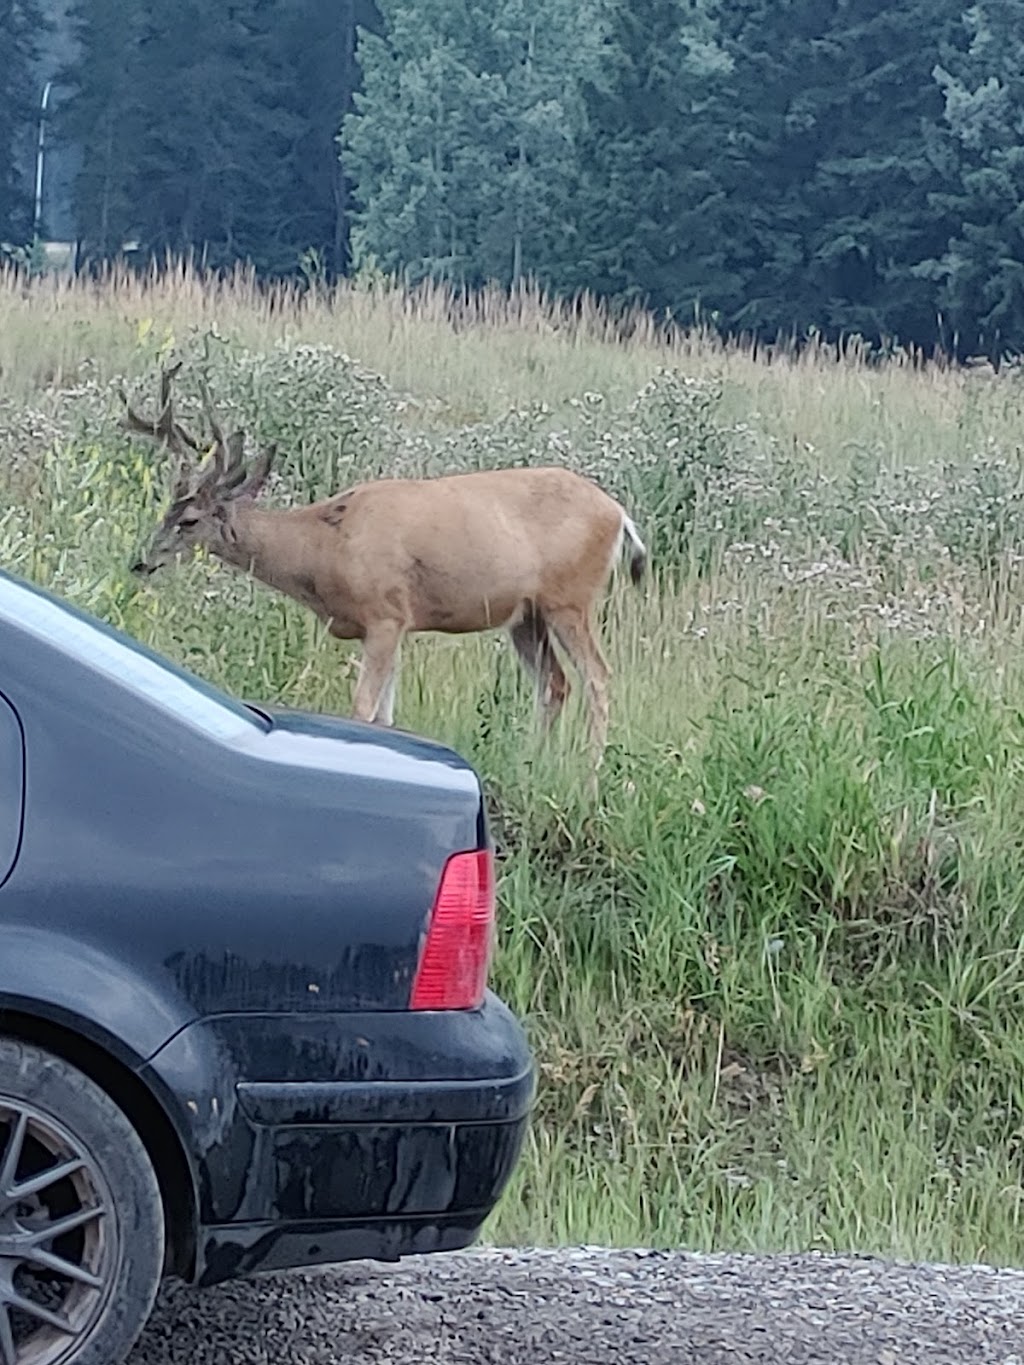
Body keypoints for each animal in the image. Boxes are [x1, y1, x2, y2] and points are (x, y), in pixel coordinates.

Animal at [122, 368, 649, 764]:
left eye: (189, 519)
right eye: (164, 507)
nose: (141, 562)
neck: (325, 547)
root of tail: (619, 515)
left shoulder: (384, 615)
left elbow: (362, 710)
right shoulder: (398, 624)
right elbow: (386, 717)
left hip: (570, 600)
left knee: (599, 678)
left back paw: (588, 777)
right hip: (526, 616)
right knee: (555, 684)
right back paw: (533, 763)